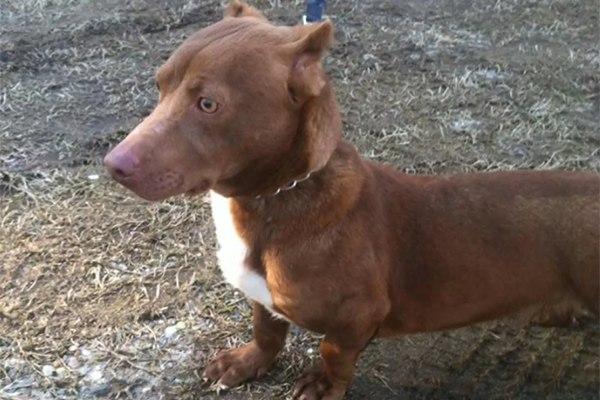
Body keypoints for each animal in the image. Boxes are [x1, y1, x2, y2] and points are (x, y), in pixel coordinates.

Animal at [104, 1, 600, 398]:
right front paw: (246, 362)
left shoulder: (357, 316)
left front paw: (322, 385)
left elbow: (332, 352)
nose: (113, 164)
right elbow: (266, 329)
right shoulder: (263, 300)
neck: (278, 198)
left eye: (208, 104)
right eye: (159, 84)